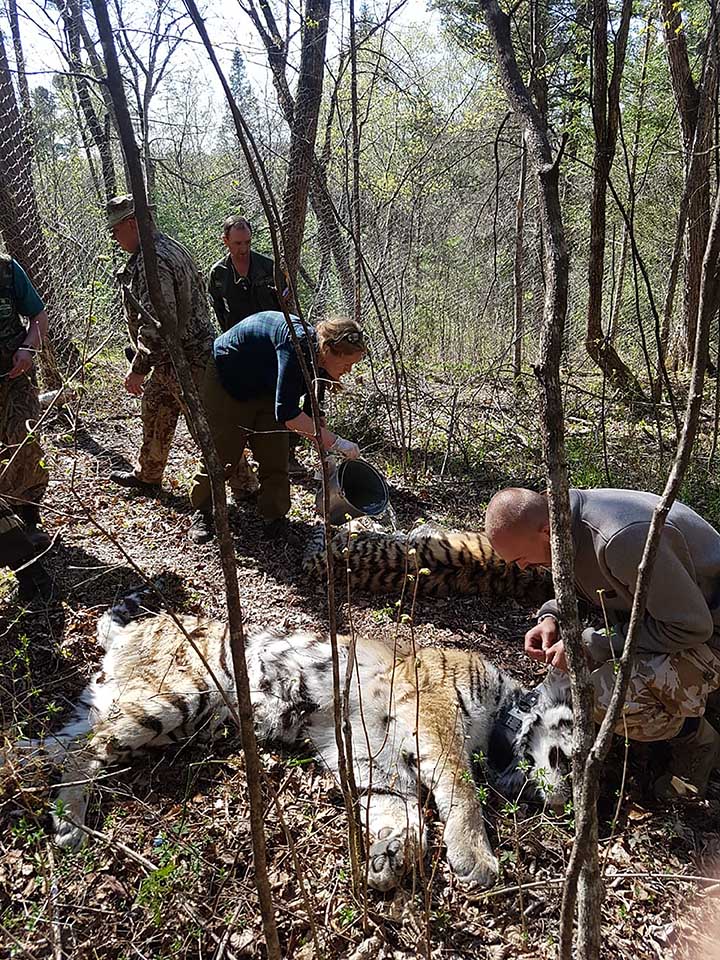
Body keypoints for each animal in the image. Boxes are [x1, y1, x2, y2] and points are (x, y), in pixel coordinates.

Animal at [4, 592, 568, 892]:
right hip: (177, 697)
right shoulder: (431, 712)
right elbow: (462, 788)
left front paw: (390, 858)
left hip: (146, 711)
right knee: (85, 752)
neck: (505, 712)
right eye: (570, 759)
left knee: (58, 745)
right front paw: (477, 858)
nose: (563, 804)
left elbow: (401, 812)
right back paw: (70, 824)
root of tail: (136, 628)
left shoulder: (377, 760)